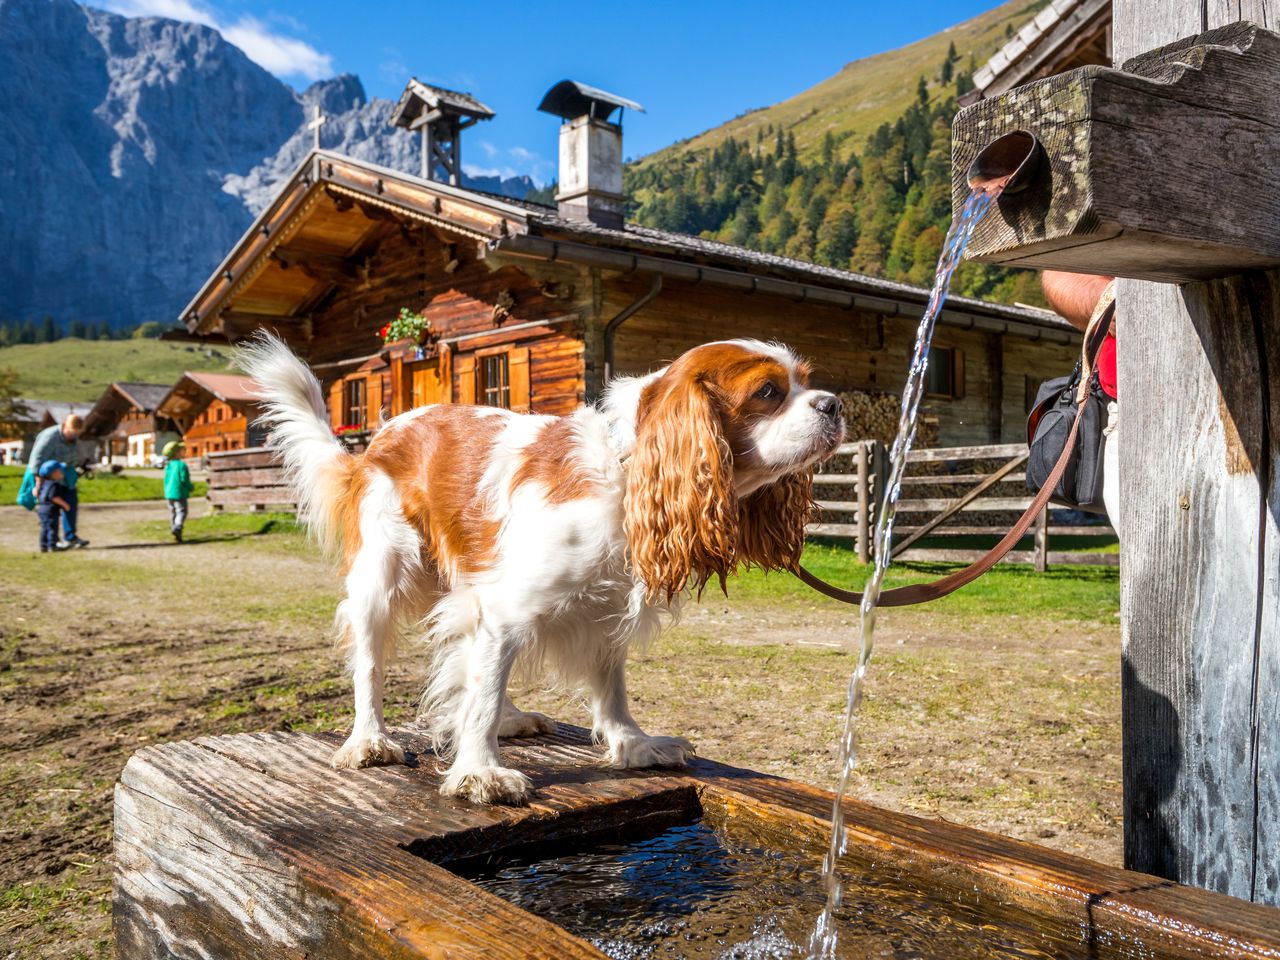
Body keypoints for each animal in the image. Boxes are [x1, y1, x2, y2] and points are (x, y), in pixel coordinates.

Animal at [243, 335, 844, 803]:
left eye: (806, 381)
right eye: (768, 393)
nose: (835, 404)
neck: (628, 471)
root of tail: (375, 442)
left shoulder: (600, 610)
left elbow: (608, 687)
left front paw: (632, 744)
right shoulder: (508, 609)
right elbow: (481, 695)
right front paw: (479, 772)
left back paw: (510, 718)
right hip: (381, 574)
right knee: (371, 664)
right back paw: (369, 741)